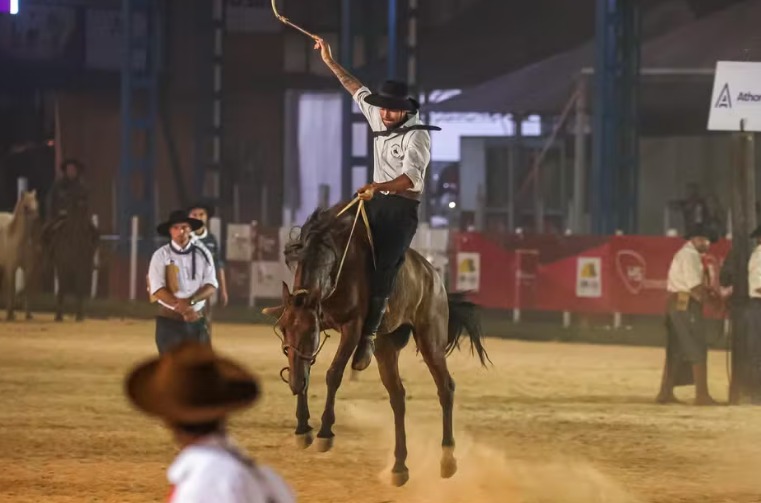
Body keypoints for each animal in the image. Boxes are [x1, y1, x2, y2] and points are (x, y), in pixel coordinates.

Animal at [0, 191, 39, 320]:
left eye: (36, 204)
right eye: (25, 206)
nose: (36, 218)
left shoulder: (28, 269)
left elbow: (27, 290)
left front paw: (28, 314)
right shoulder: (11, 268)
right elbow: (11, 290)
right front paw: (10, 314)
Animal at [44, 193, 98, 322]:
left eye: (86, 209)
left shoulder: (82, 267)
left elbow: (79, 289)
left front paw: (79, 316)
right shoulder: (62, 266)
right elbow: (62, 288)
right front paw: (58, 316)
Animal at [262, 201, 486, 488]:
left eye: (310, 330)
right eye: (283, 329)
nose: (293, 384)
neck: (335, 261)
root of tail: (433, 276)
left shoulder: (352, 327)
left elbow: (333, 374)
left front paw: (325, 432)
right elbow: (305, 370)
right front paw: (303, 428)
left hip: (431, 340)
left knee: (445, 388)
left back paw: (447, 459)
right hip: (385, 347)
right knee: (398, 397)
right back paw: (399, 467)